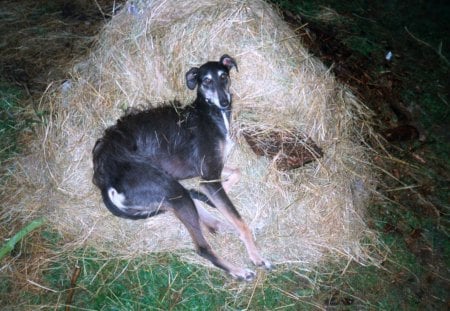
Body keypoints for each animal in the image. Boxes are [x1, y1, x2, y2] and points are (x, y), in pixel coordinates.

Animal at [92, 54, 270, 282]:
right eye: (206, 81)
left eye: (223, 76)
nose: (224, 101)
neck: (208, 114)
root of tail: (106, 183)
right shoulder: (210, 178)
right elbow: (239, 220)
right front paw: (256, 256)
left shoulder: (209, 171)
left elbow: (237, 172)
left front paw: (212, 197)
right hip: (171, 190)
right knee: (203, 247)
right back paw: (239, 271)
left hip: (172, 190)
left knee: (208, 222)